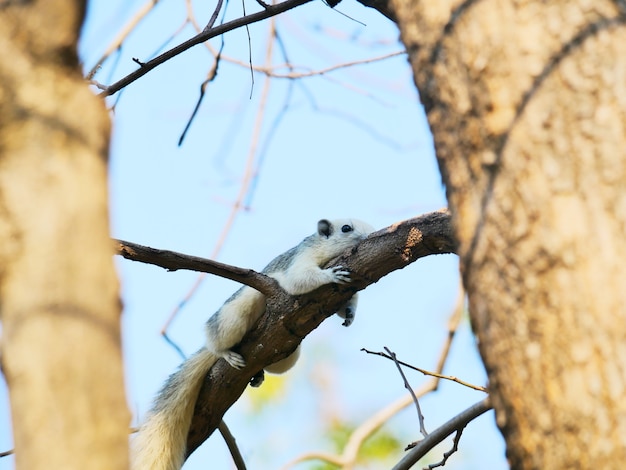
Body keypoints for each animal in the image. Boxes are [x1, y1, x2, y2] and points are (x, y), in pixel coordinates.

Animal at [130, 218, 372, 470]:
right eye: (346, 228)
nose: (369, 237)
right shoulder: (300, 260)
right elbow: (299, 279)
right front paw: (330, 275)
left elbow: (347, 304)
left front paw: (350, 314)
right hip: (235, 314)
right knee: (215, 341)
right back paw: (226, 353)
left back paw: (259, 374)